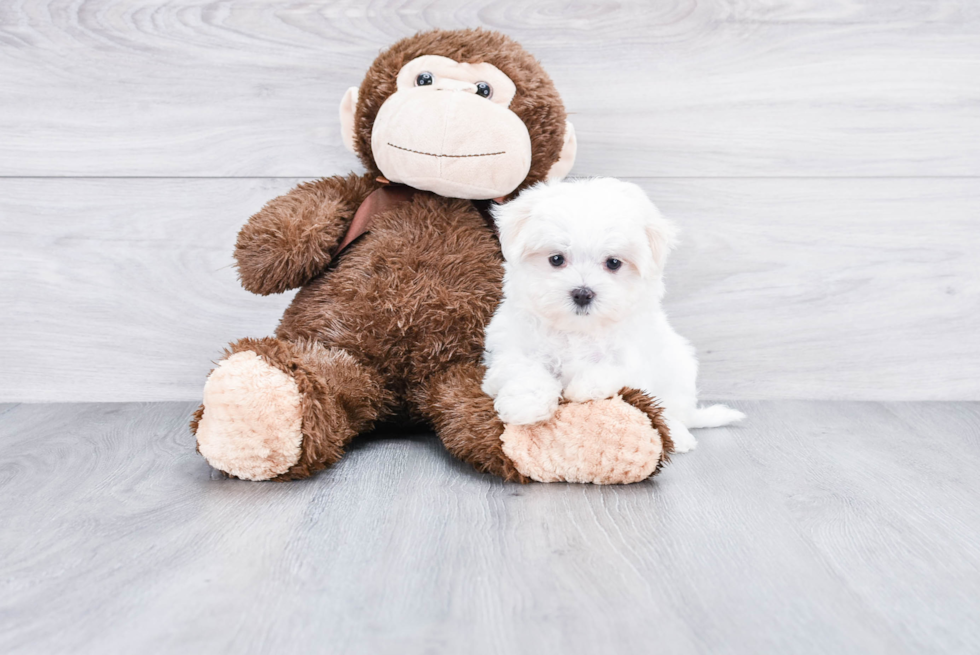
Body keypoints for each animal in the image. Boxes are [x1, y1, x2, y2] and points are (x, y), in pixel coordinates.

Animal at [482, 179, 744, 456]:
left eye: (614, 263)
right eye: (556, 259)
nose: (583, 293)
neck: (578, 330)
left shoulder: (635, 357)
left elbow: (613, 369)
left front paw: (582, 386)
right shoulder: (510, 349)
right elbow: (524, 370)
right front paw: (526, 405)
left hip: (678, 371)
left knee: (670, 411)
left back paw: (679, 435)